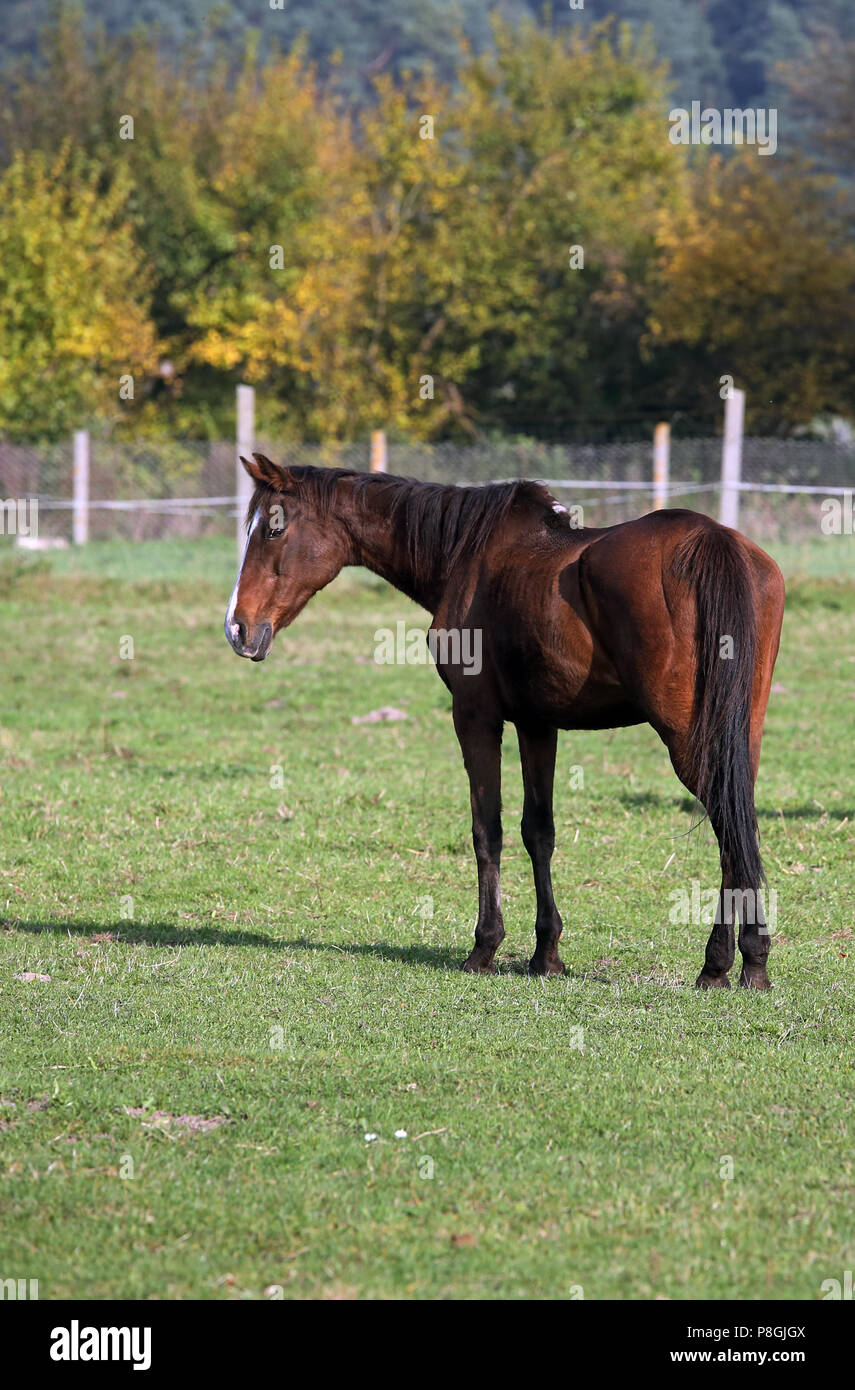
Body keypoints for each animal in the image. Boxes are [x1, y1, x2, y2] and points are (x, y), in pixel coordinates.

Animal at [225, 455, 784, 989]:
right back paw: (745, 961)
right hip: (737, 733)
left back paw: (721, 962)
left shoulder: (476, 717)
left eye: (272, 529)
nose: (237, 628)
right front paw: (546, 954)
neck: (465, 556)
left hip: (691, 739)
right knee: (739, 824)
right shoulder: (538, 724)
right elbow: (539, 831)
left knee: (729, 827)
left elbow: (486, 829)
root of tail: (711, 539)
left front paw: (485, 947)